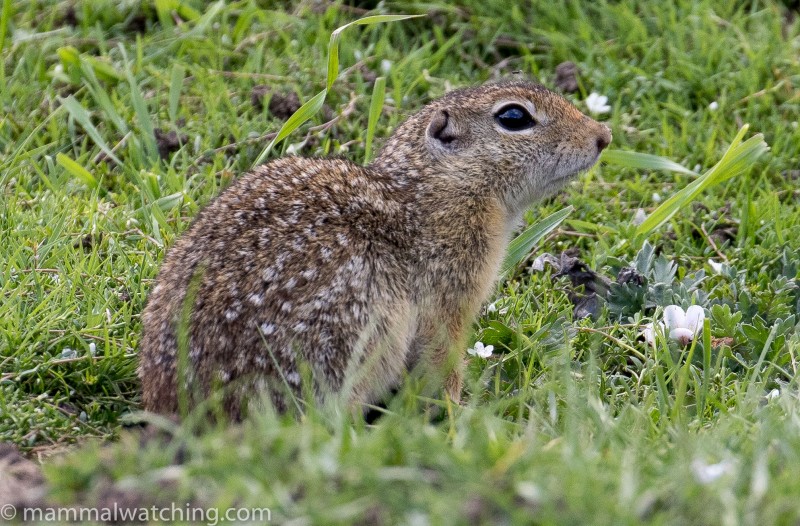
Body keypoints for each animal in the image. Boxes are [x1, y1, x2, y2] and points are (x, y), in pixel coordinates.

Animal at [139, 80, 612, 418]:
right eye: (514, 116)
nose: (603, 135)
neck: (442, 187)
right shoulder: (449, 294)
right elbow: (442, 359)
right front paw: (459, 417)